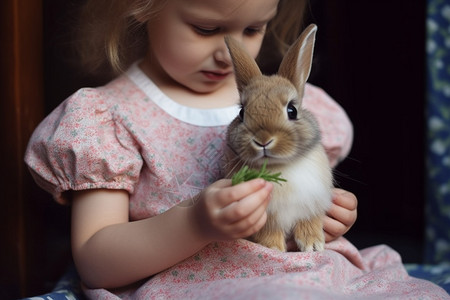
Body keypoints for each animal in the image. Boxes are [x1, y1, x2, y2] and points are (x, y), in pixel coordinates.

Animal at [223, 24, 332, 252]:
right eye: (242, 113)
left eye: (292, 110)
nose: (263, 140)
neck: (280, 166)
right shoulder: (267, 219)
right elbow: (269, 233)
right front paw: (274, 250)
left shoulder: (312, 204)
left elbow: (310, 221)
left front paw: (313, 245)